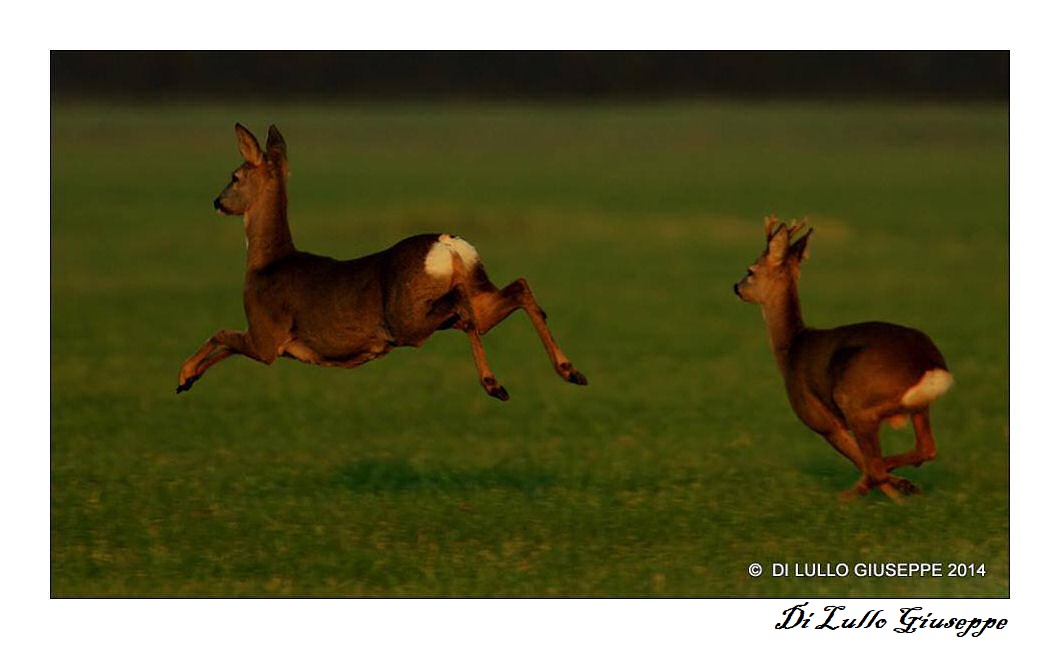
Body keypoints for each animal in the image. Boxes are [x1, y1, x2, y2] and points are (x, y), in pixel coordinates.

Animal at [175, 124, 589, 400]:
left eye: (234, 176)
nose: (216, 201)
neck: (267, 264)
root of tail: (449, 247)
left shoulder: (266, 336)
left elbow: (221, 335)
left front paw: (183, 376)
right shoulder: (267, 341)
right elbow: (224, 343)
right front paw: (188, 380)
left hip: (408, 318)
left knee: (465, 306)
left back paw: (495, 384)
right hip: (475, 293)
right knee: (517, 288)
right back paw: (570, 371)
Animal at [737, 218, 953, 502]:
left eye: (750, 270)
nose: (736, 287)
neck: (791, 348)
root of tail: (928, 364)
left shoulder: (822, 421)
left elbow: (861, 461)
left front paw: (900, 491)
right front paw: (903, 492)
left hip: (855, 402)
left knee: (876, 466)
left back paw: (846, 498)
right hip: (917, 406)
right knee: (925, 449)